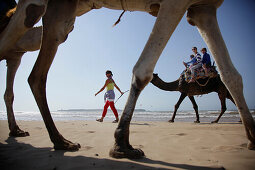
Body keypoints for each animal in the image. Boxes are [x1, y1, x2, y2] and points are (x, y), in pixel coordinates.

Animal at [0, 0, 254, 159]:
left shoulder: (204, 8)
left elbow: (232, 75)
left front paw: (252, 138)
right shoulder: (178, 3)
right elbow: (145, 72)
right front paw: (122, 145)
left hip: (59, 14)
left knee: (35, 73)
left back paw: (59, 141)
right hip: (39, 9)